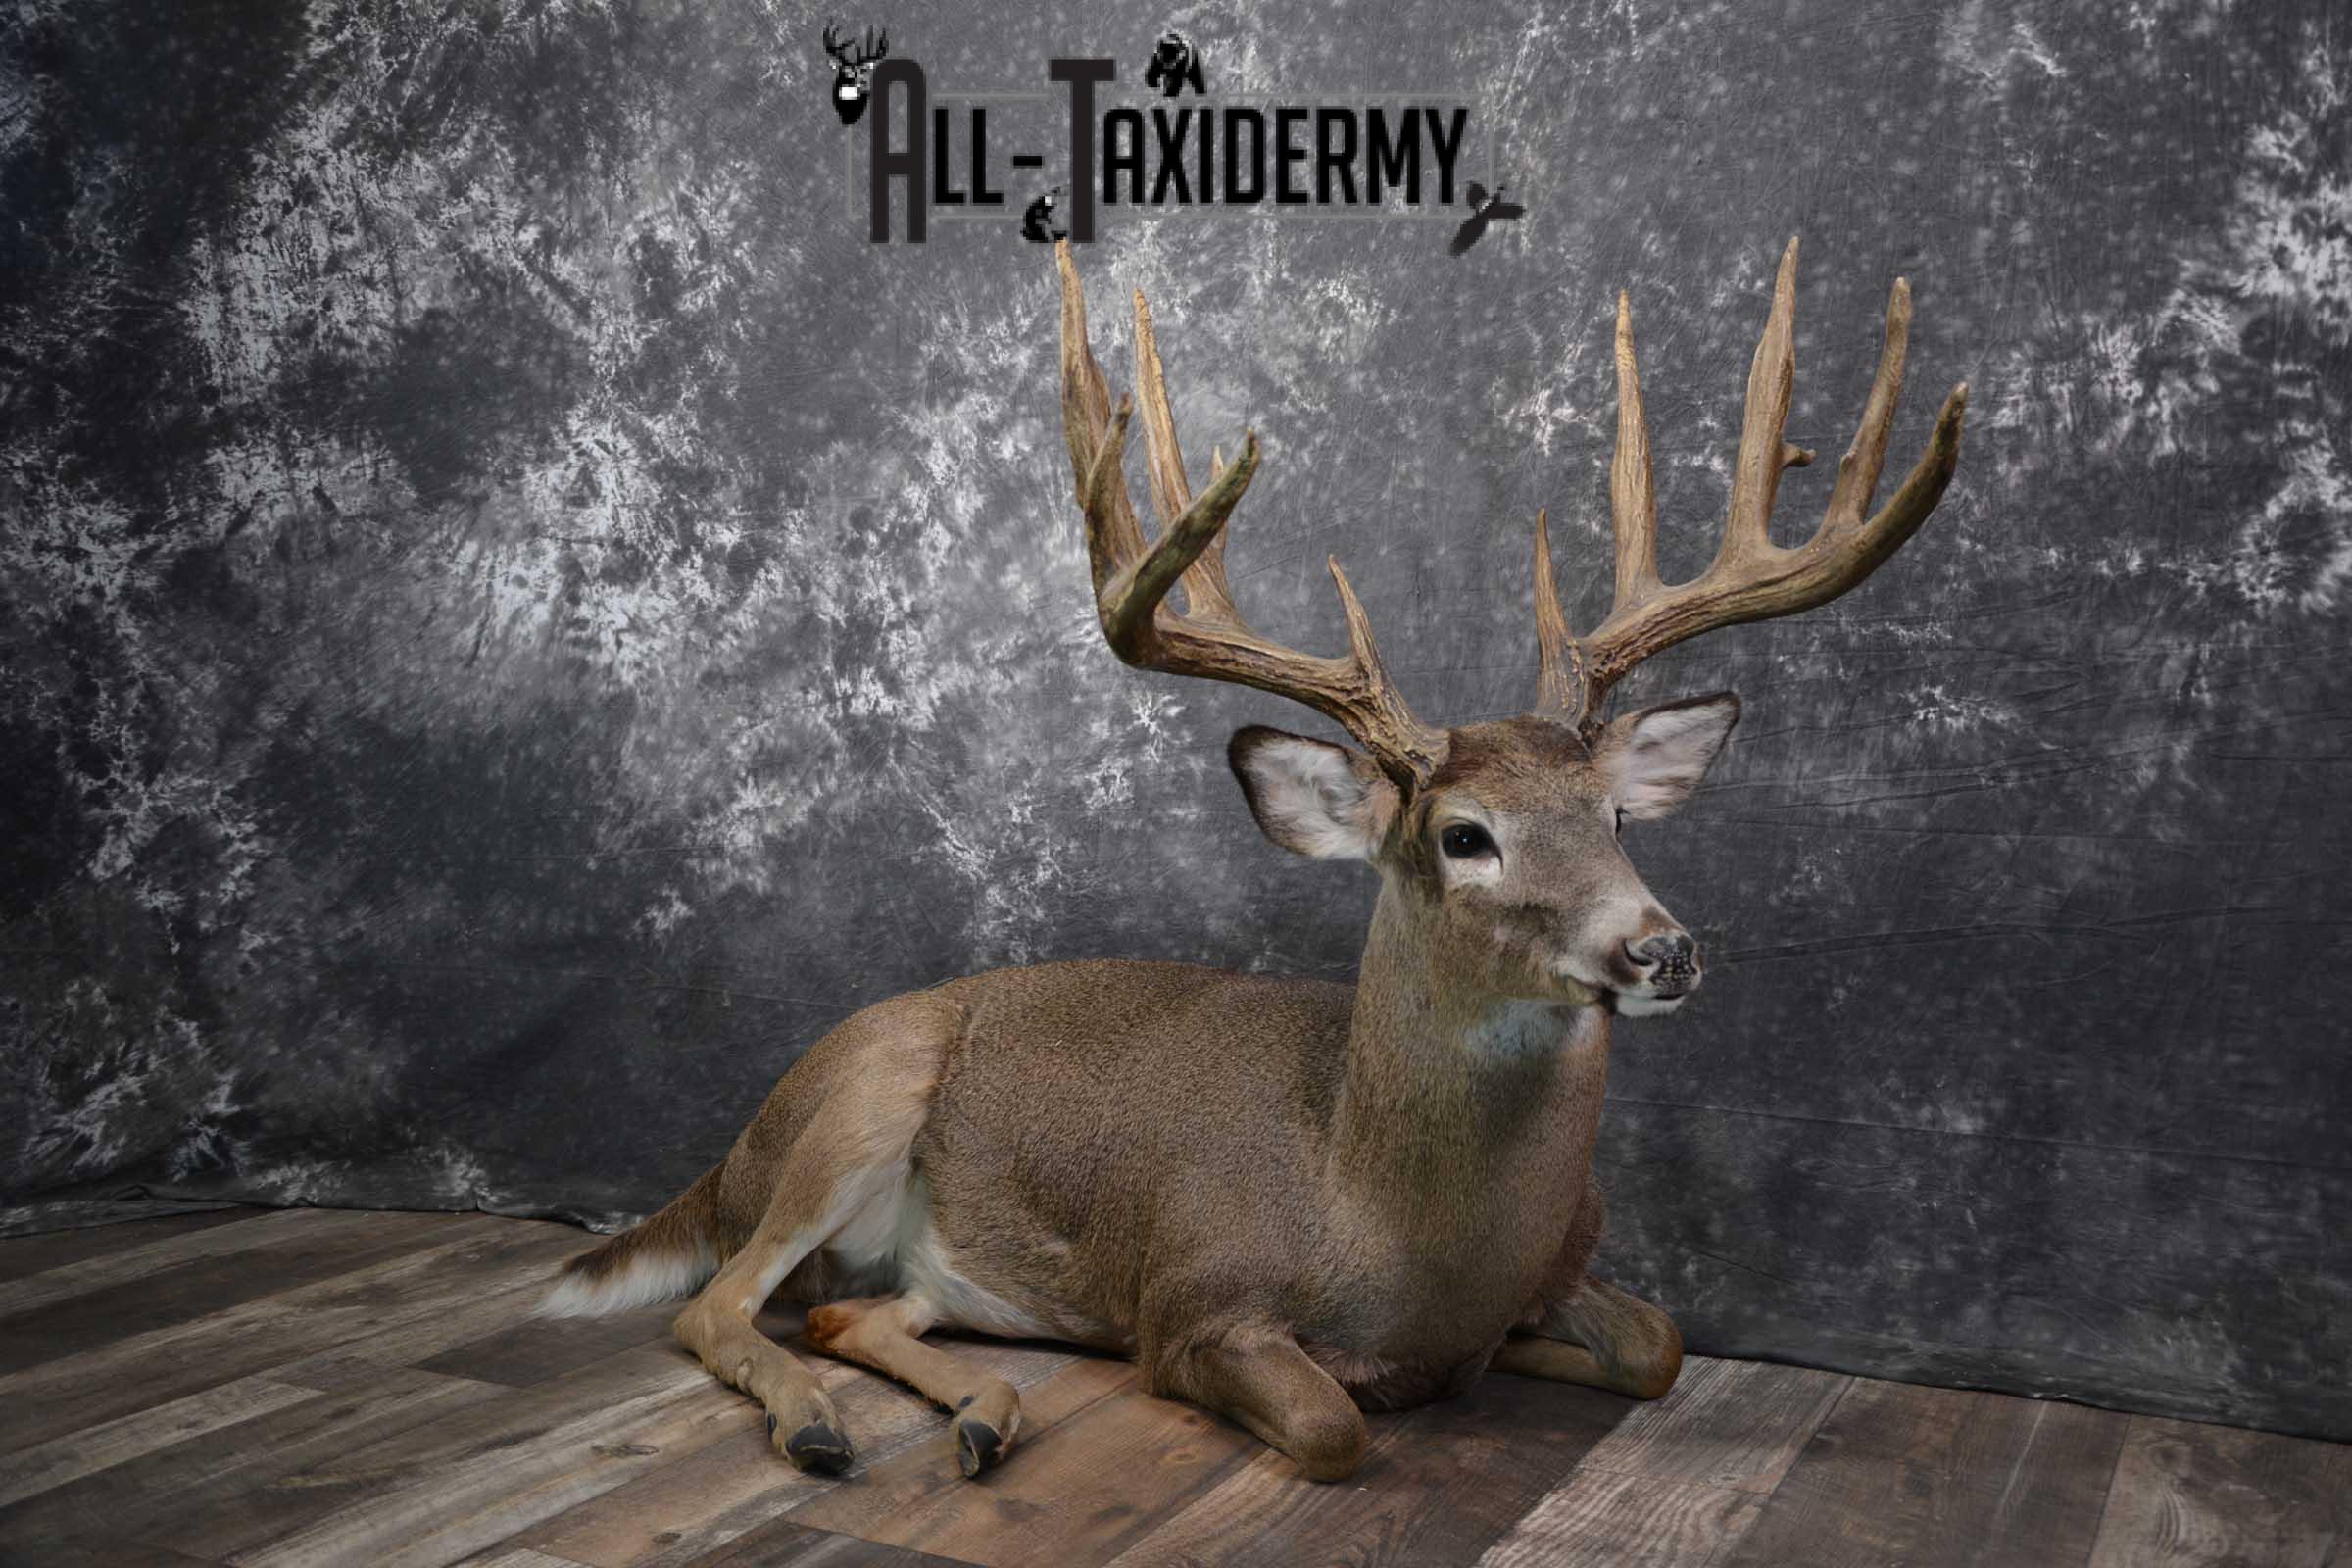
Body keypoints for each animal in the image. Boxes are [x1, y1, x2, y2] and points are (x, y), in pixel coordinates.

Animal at [540, 237, 1967, 1484]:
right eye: (1464, 835)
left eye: (1615, 817)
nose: (1660, 948)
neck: (1389, 1230)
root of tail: (732, 1156)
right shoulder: (1191, 1302)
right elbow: (1334, 1425)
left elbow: (1661, 1346)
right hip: (857, 1097)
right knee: (719, 1306)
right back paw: (822, 1428)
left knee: (857, 1311)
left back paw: (986, 1414)